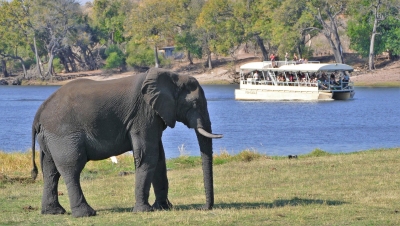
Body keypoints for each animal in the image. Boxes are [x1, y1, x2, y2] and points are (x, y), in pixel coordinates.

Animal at [30, 68, 225, 217]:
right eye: (195, 104)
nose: (203, 208)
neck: (171, 76)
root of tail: (39, 113)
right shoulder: (143, 115)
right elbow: (148, 156)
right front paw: (144, 211)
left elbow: (159, 158)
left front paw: (163, 208)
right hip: (63, 134)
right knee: (72, 168)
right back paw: (86, 214)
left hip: (50, 138)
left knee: (50, 170)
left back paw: (53, 212)